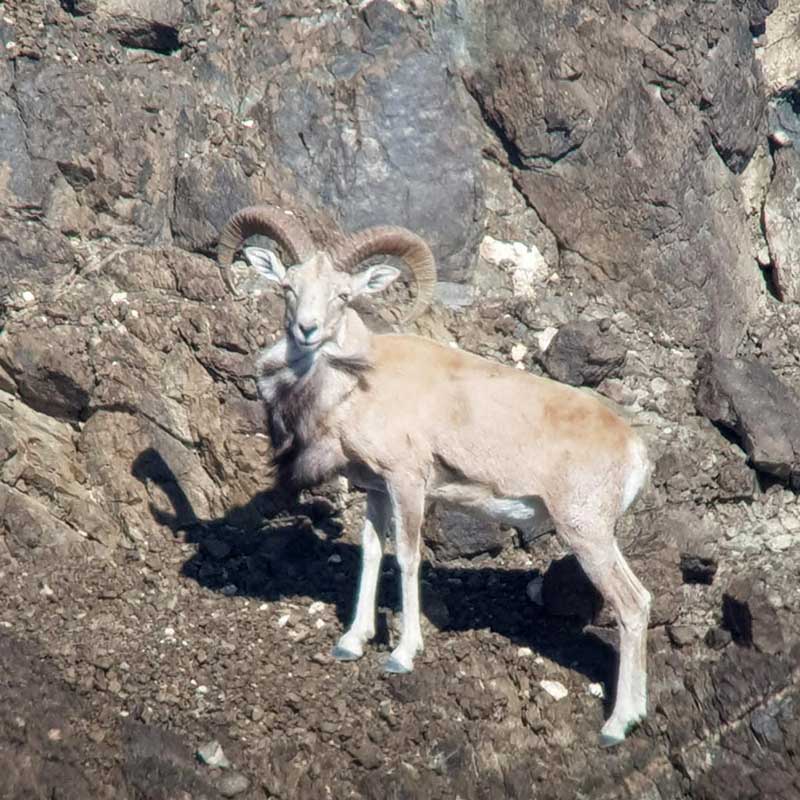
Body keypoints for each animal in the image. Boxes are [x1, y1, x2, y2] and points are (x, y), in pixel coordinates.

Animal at [219, 205, 648, 744]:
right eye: (288, 287)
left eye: (343, 295)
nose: (306, 330)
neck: (358, 384)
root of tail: (635, 449)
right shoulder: (377, 490)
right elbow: (372, 554)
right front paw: (351, 643)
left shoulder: (408, 485)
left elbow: (406, 558)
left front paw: (402, 656)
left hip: (586, 534)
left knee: (631, 606)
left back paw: (616, 725)